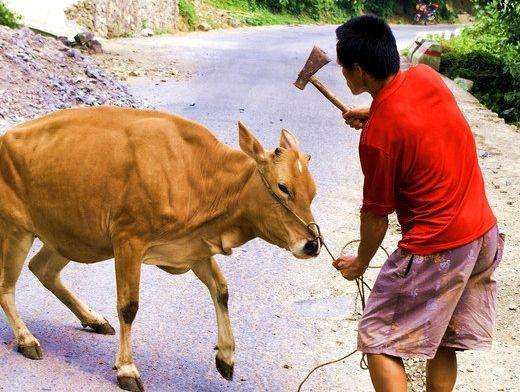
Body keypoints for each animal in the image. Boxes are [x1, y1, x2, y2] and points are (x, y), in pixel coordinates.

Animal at [0, 106, 320, 388]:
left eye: (313, 192)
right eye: (283, 187)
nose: (312, 244)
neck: (201, 177)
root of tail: (6, 137)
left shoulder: (195, 248)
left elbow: (222, 290)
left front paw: (226, 357)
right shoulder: (128, 241)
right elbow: (129, 306)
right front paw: (127, 369)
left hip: (71, 236)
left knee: (43, 270)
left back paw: (93, 319)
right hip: (18, 230)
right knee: (7, 286)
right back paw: (26, 339)